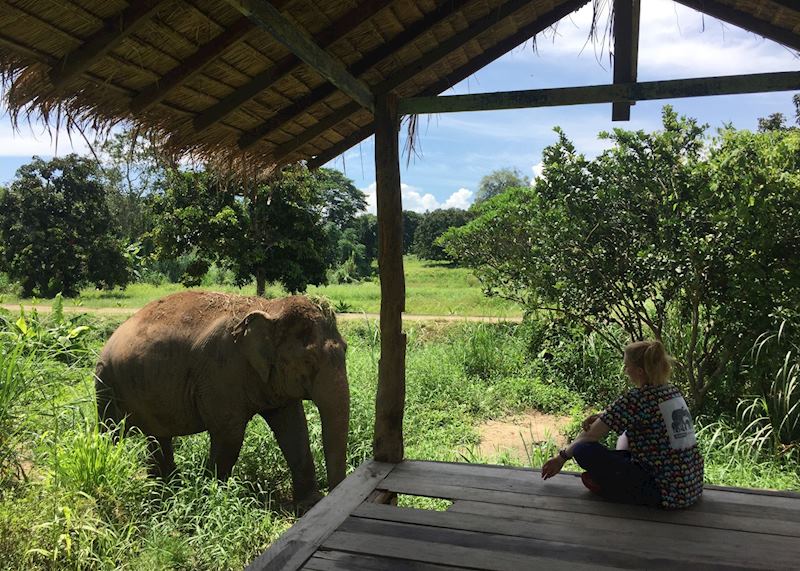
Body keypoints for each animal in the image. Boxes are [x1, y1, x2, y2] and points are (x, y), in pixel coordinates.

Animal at [94, 291, 349, 509]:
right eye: (308, 360)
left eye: (345, 349)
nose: (331, 497)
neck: (269, 307)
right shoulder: (220, 371)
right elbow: (229, 435)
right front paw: (209, 497)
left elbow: (294, 428)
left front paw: (309, 505)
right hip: (106, 384)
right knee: (111, 432)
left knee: (157, 436)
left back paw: (166, 489)